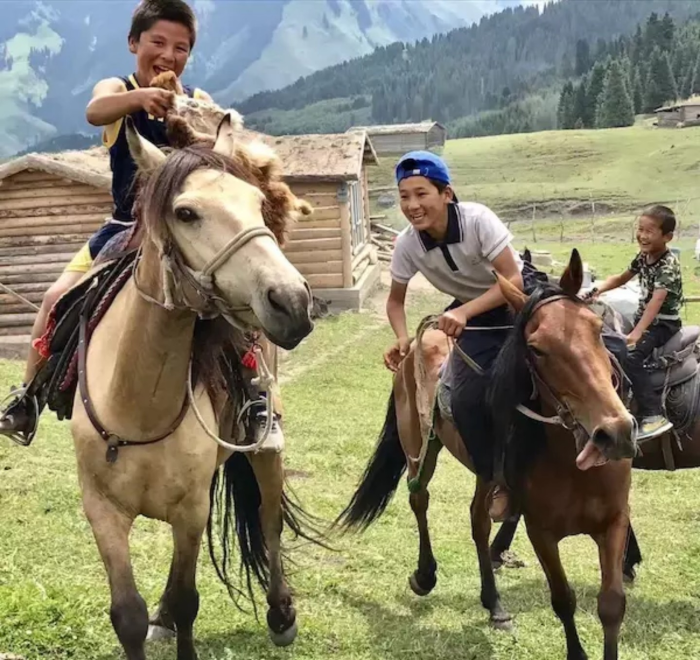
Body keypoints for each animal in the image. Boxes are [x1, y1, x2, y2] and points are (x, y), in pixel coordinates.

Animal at [340, 248, 640, 660]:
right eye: (537, 349)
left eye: (597, 328)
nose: (614, 432)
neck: (575, 466)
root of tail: (412, 347)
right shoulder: (540, 531)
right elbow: (563, 600)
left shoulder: (614, 522)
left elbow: (611, 605)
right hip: (419, 447)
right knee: (420, 498)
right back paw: (425, 574)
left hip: (483, 470)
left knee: (479, 521)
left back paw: (494, 603)